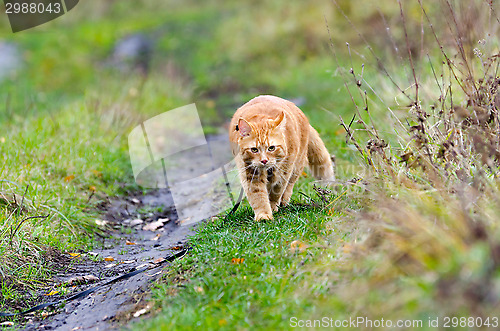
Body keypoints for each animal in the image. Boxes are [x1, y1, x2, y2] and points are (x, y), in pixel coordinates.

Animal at [231, 94, 336, 222]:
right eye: (254, 150)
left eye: (271, 148)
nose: (264, 160)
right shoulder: (250, 173)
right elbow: (258, 196)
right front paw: (263, 215)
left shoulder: (284, 171)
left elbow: (276, 191)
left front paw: (273, 207)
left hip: (297, 165)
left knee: (289, 185)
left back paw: (284, 201)